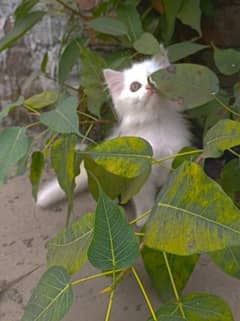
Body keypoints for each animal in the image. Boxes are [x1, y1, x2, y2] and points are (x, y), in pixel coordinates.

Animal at [36, 47, 191, 222]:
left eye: (155, 77)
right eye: (135, 86)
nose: (150, 87)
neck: (155, 123)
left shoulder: (175, 159)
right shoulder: (139, 177)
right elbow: (144, 200)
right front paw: (143, 220)